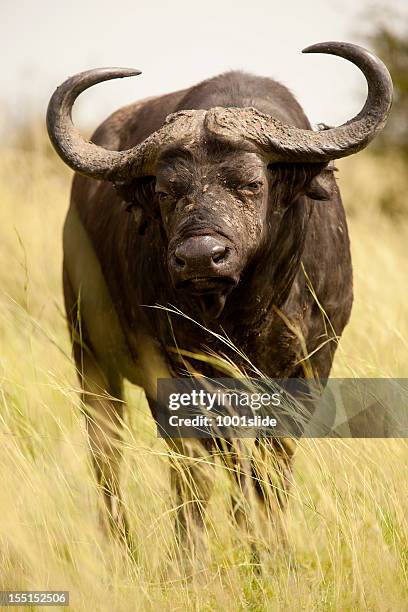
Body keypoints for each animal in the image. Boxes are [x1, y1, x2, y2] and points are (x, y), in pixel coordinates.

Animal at [45, 40, 392, 552]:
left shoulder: (310, 367)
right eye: (166, 191)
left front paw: (268, 548)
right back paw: (118, 544)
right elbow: (201, 467)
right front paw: (192, 554)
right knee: (107, 452)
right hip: (89, 354)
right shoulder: (179, 371)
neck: (244, 313)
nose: (200, 258)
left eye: (251, 183)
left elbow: (270, 467)